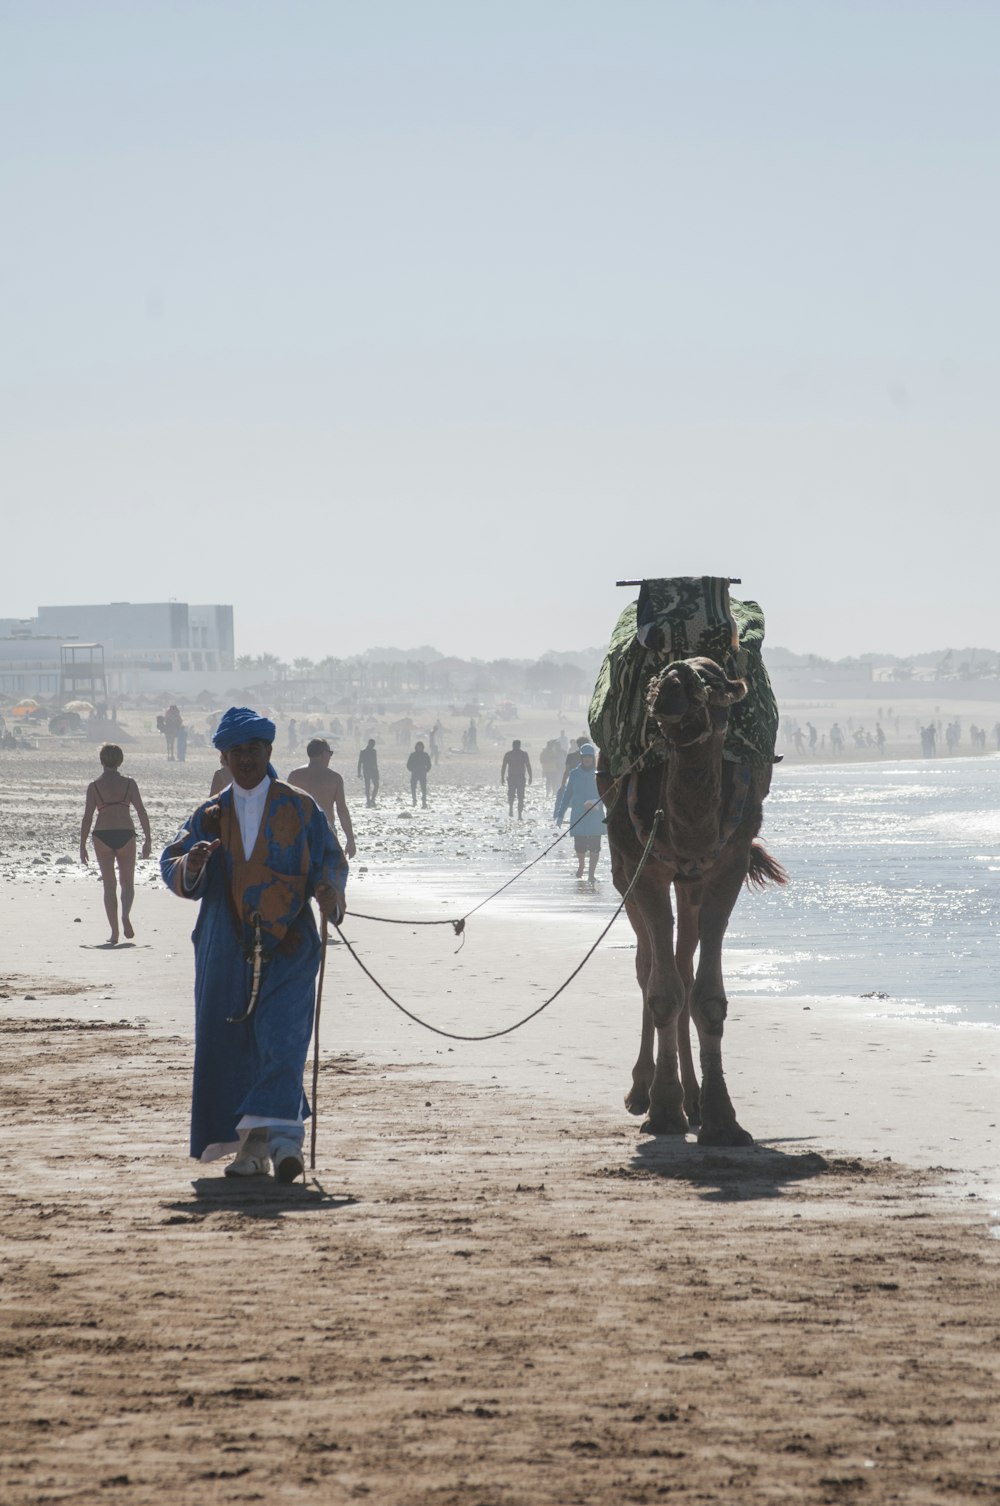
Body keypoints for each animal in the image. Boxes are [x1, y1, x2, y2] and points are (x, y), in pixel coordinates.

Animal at [596, 656, 783, 1138]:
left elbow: (707, 997)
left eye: (712, 679)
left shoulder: (727, 866)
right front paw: (664, 1110)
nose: (669, 687)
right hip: (625, 874)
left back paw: (694, 1098)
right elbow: (662, 990)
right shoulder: (645, 869)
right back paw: (643, 1091)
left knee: (683, 965)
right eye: (662, 675)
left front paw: (721, 1118)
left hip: (691, 883)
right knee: (649, 966)